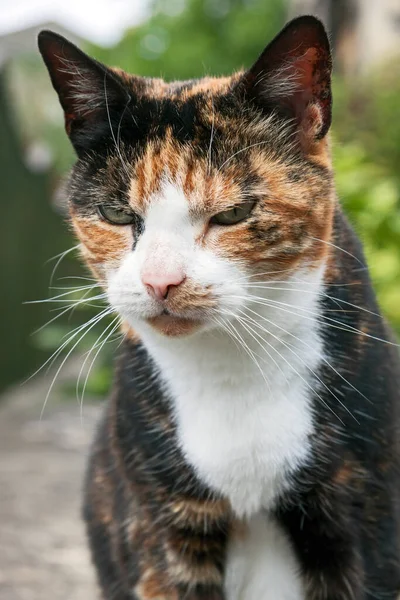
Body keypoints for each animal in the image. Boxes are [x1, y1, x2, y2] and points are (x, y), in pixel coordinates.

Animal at [39, 15, 400, 600]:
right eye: (117, 214)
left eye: (232, 214)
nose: (160, 280)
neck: (231, 372)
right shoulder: (162, 529)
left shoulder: (363, 521)